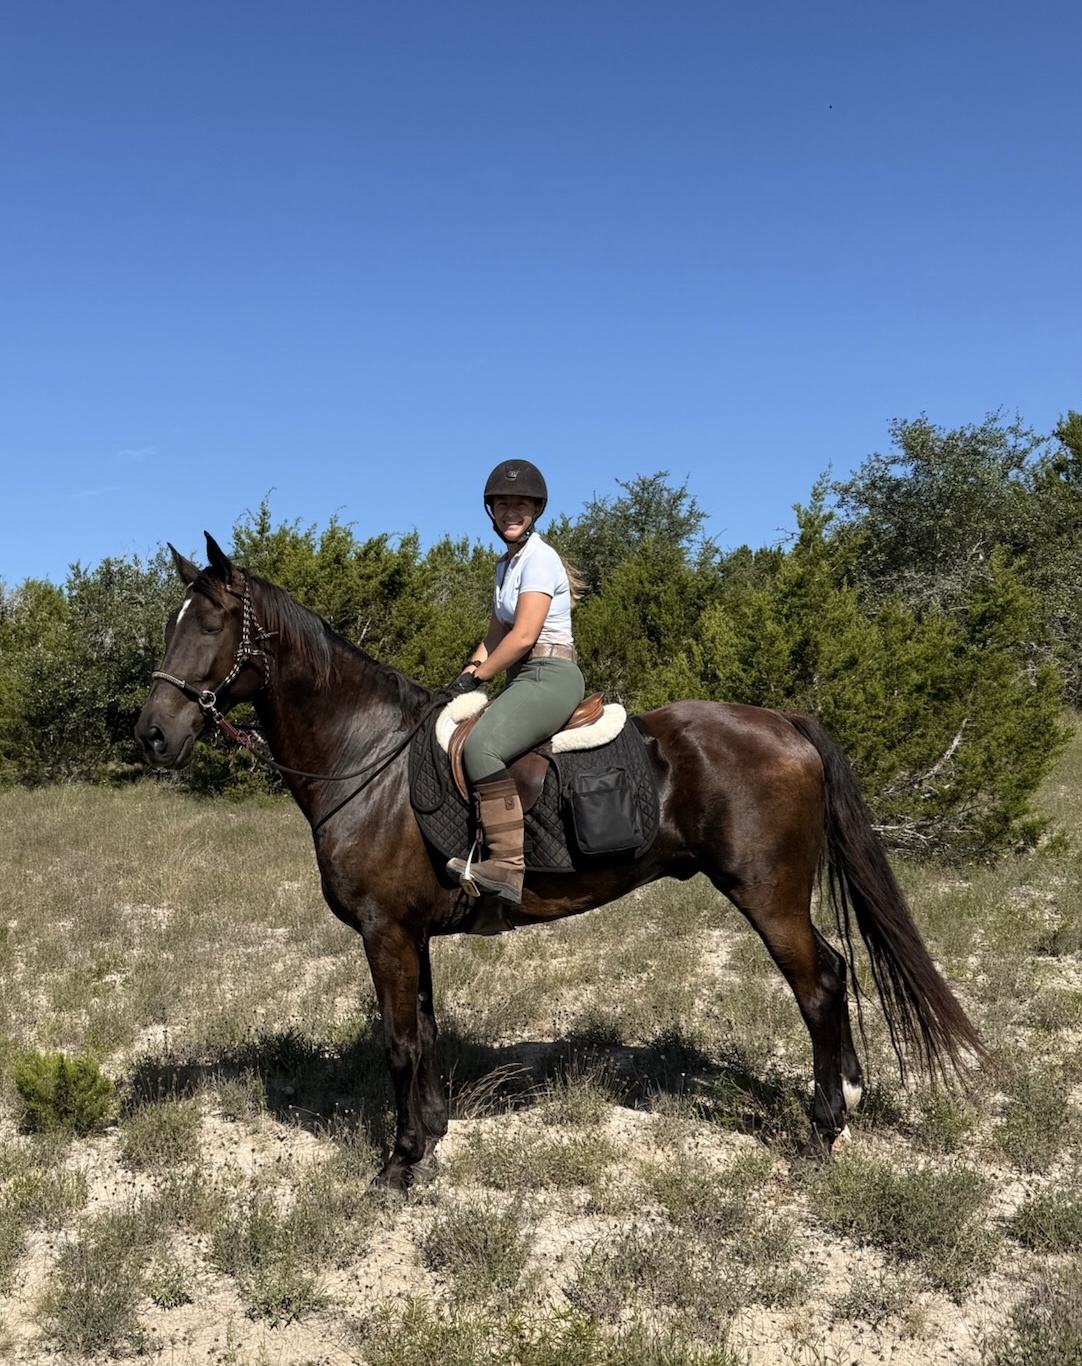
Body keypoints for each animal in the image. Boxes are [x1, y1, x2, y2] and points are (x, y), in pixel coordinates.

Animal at [135, 533, 984, 1192]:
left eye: (210, 623)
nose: (151, 735)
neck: (366, 758)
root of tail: (783, 721)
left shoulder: (385, 933)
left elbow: (400, 1043)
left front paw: (399, 1164)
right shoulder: (411, 934)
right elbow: (426, 1034)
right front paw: (431, 1139)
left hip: (768, 894)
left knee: (820, 985)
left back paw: (823, 1131)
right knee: (834, 973)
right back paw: (847, 1103)